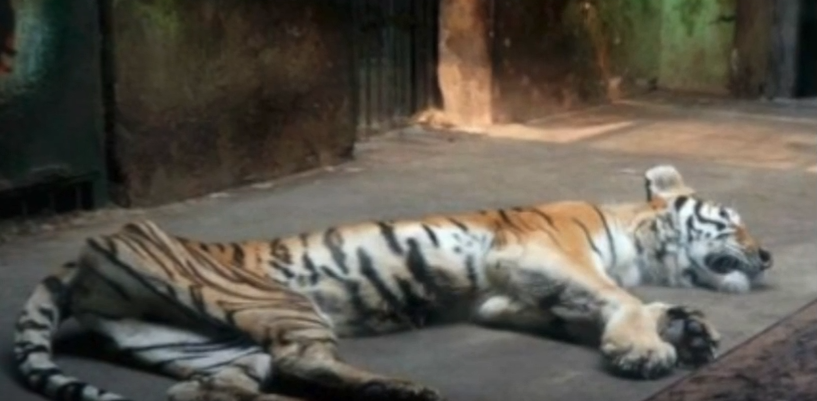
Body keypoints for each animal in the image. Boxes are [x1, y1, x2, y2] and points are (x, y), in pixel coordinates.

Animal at [13, 164, 772, 401]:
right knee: (300, 361)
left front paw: (685, 327)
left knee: (221, 385)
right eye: (733, 224)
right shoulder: (537, 255)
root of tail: (84, 252)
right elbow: (616, 297)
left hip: (196, 340)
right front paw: (647, 347)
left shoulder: (507, 297)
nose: (766, 256)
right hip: (277, 301)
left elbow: (611, 304)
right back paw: (398, 387)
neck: (635, 242)